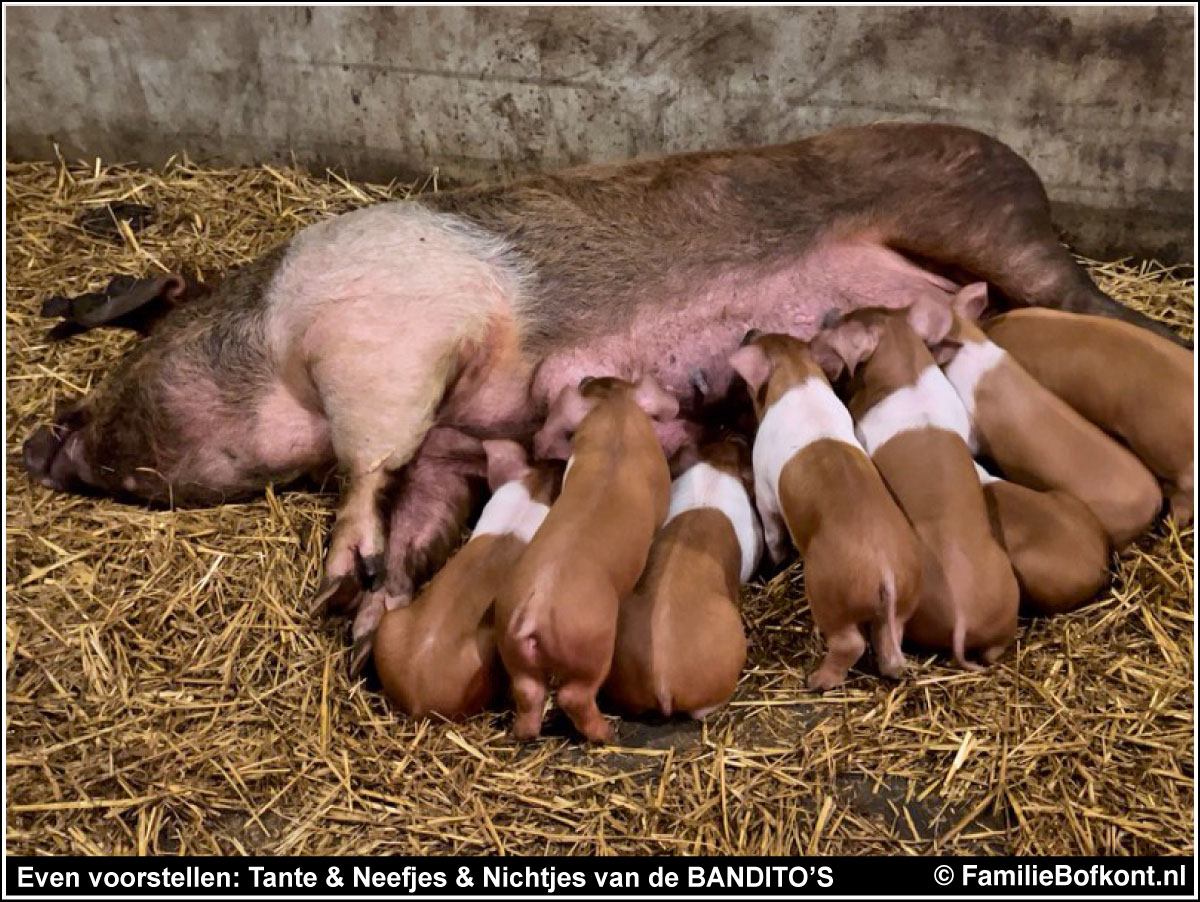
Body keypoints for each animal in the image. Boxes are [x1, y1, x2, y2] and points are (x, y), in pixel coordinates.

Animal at [21, 123, 1180, 666]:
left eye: (127, 362)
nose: (41, 442)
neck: (270, 350)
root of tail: (1020, 166)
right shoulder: (455, 439)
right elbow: (421, 510)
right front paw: (369, 612)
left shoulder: (384, 342)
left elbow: (369, 460)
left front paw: (340, 572)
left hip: (993, 225)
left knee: (1120, 314)